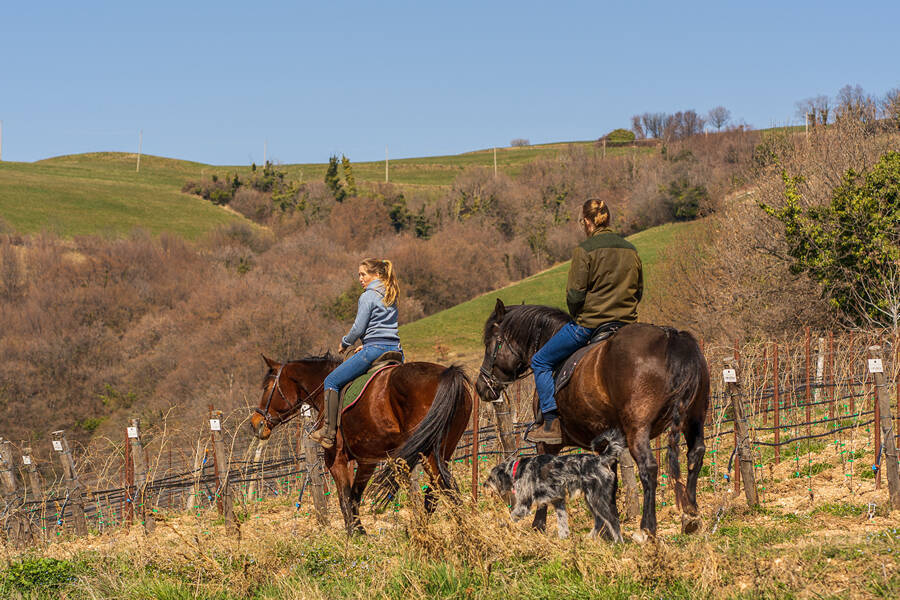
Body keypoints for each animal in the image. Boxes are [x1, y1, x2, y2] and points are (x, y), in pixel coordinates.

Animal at [246, 354, 472, 532]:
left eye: (267, 387)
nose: (255, 423)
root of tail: (448, 373)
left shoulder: (336, 460)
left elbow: (344, 497)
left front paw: (353, 535)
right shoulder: (367, 461)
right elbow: (354, 496)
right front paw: (360, 532)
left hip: (428, 453)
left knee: (445, 489)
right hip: (442, 452)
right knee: (437, 491)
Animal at [478, 300, 712, 540]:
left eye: (490, 343)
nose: (481, 386)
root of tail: (671, 337)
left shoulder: (546, 444)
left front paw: (538, 525)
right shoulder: (606, 444)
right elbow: (611, 480)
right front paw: (607, 528)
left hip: (638, 429)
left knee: (649, 467)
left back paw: (647, 529)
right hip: (694, 419)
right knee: (695, 455)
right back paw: (691, 517)